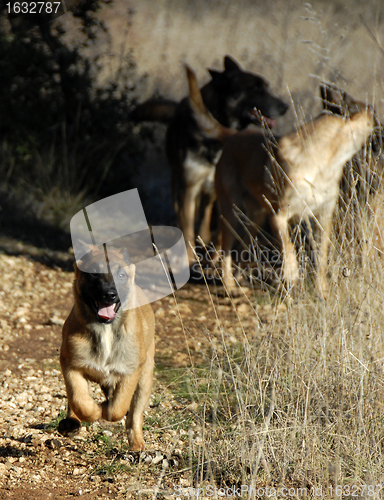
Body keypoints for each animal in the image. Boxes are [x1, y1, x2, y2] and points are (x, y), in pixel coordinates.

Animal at [58, 244, 154, 452]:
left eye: (121, 275)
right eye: (94, 273)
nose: (110, 294)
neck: (105, 330)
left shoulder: (130, 371)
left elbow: (119, 406)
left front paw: (105, 410)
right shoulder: (71, 364)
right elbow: (79, 400)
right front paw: (94, 411)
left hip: (145, 379)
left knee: (135, 414)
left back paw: (137, 442)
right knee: (73, 401)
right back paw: (71, 423)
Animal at [130, 55, 286, 262]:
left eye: (266, 87)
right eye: (256, 89)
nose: (285, 106)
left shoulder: (217, 190)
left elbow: (213, 227)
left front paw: (211, 252)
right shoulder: (190, 188)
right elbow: (188, 228)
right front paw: (189, 258)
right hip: (179, 184)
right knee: (183, 215)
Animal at [214, 85, 376, 294]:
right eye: (373, 112)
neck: (325, 161)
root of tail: (232, 139)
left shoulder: (323, 219)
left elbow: (321, 258)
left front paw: (321, 291)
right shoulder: (279, 218)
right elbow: (289, 247)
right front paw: (292, 274)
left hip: (256, 218)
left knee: (243, 244)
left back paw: (241, 279)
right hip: (232, 214)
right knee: (226, 251)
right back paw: (230, 286)